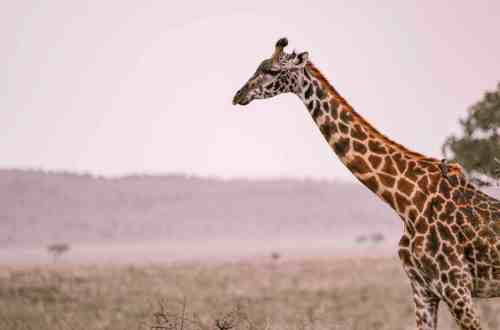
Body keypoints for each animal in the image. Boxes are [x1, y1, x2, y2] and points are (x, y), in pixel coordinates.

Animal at [232, 37, 500, 328]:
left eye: (272, 70)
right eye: (259, 65)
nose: (239, 95)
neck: (405, 201)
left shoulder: (456, 286)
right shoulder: (422, 289)